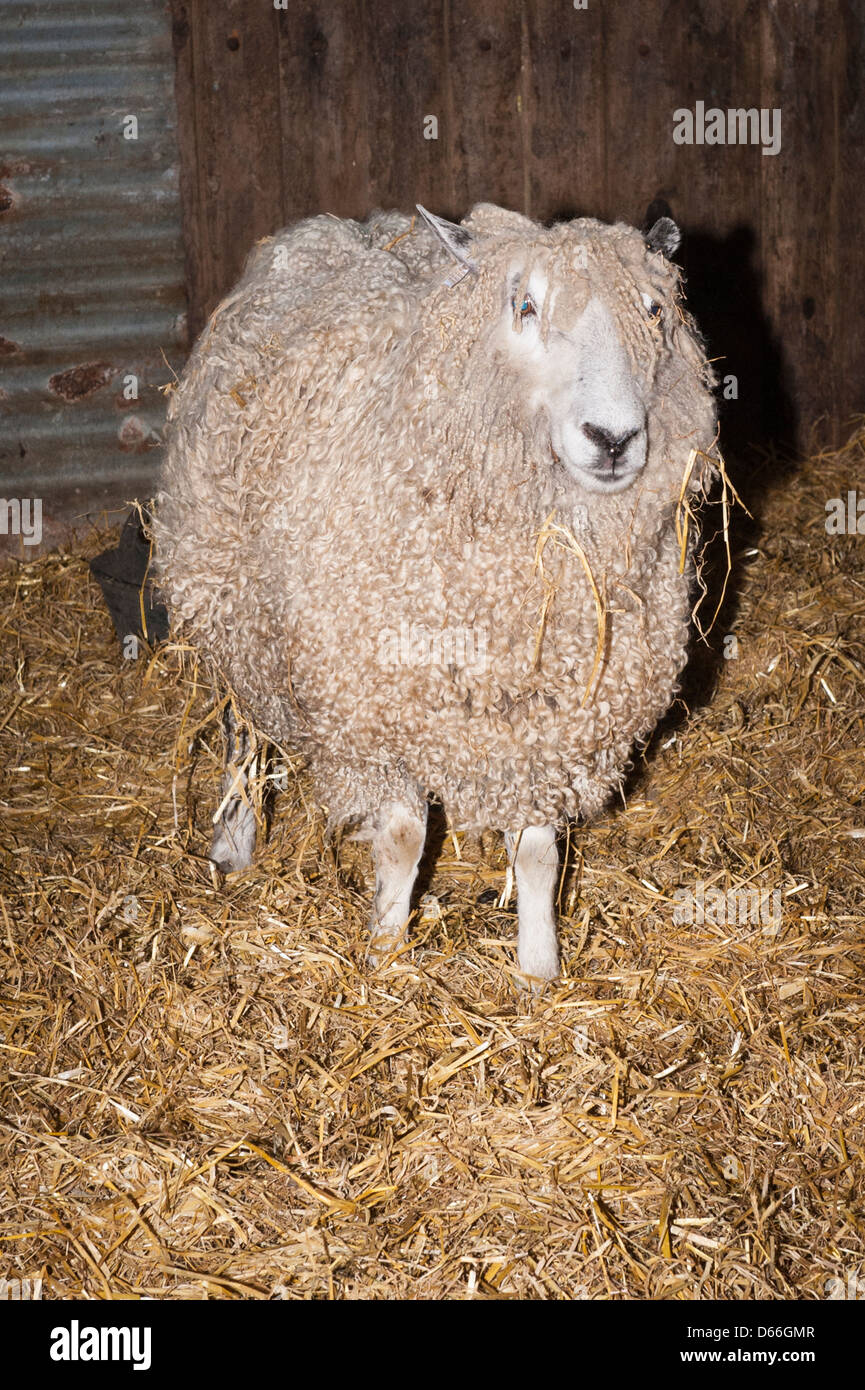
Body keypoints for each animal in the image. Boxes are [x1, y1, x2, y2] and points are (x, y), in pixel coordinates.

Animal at [154, 202, 719, 983]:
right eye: (525, 306)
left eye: (655, 309)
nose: (611, 439)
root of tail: (343, 229)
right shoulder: (378, 710)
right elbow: (401, 839)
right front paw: (386, 952)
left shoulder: (542, 723)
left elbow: (538, 853)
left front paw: (539, 967)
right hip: (229, 603)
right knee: (243, 728)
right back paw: (233, 843)